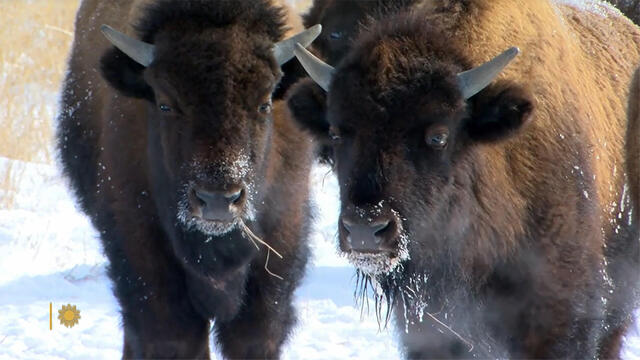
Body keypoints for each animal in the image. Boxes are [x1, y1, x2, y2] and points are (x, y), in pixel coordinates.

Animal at [56, 0, 320, 358]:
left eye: (265, 103)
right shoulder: (141, 246)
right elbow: (173, 335)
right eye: (165, 105)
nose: (219, 199)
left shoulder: (280, 243)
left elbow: (253, 335)